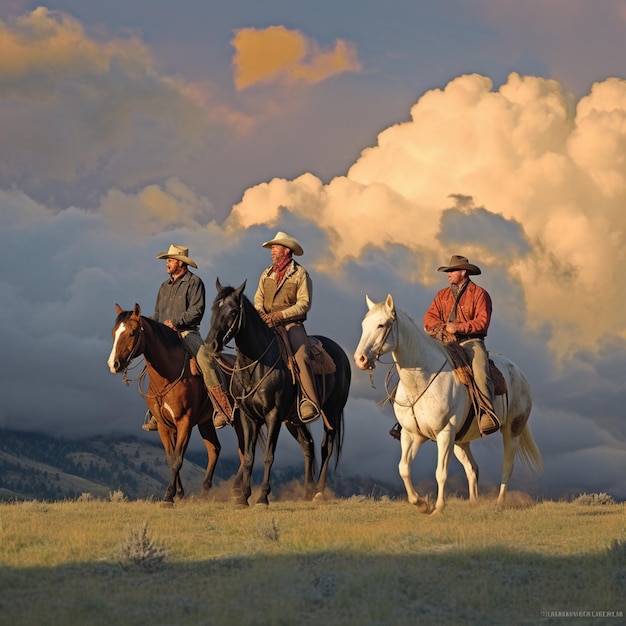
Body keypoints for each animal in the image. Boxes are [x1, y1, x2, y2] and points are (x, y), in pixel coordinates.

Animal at [107, 302, 244, 502]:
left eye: (132, 332)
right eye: (114, 332)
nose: (113, 364)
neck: (168, 375)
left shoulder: (184, 422)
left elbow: (178, 458)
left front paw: (168, 497)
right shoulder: (165, 425)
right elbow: (171, 457)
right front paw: (178, 494)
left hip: (242, 419)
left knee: (244, 450)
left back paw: (238, 491)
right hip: (206, 423)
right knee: (214, 449)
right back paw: (204, 492)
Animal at [206, 280, 348, 504]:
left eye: (233, 311)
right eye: (213, 308)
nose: (211, 344)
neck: (256, 364)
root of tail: (341, 353)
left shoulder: (273, 415)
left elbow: (268, 456)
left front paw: (262, 497)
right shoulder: (248, 417)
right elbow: (249, 456)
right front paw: (243, 497)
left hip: (332, 412)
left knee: (327, 448)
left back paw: (318, 492)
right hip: (293, 420)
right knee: (308, 445)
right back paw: (307, 492)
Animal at [354, 294, 540, 512]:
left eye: (381, 325)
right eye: (364, 325)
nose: (360, 359)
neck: (423, 380)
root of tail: (518, 372)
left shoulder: (445, 433)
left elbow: (440, 473)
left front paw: (438, 507)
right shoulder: (412, 435)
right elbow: (404, 468)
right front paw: (421, 504)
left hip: (512, 429)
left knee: (507, 466)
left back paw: (500, 502)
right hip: (461, 440)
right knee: (472, 468)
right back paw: (473, 502)